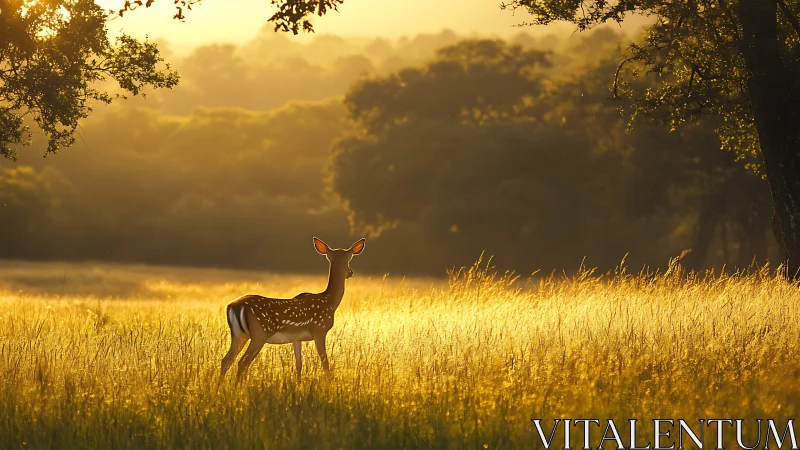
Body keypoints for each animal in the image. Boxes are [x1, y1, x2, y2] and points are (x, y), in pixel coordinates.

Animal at [220, 237, 366, 382]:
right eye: (350, 258)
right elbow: (325, 364)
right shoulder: (319, 330)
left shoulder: (297, 337)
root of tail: (234, 306)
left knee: (226, 360)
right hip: (259, 333)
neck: (329, 301)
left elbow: (298, 364)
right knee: (242, 362)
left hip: (239, 334)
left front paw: (299, 384)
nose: (351, 272)